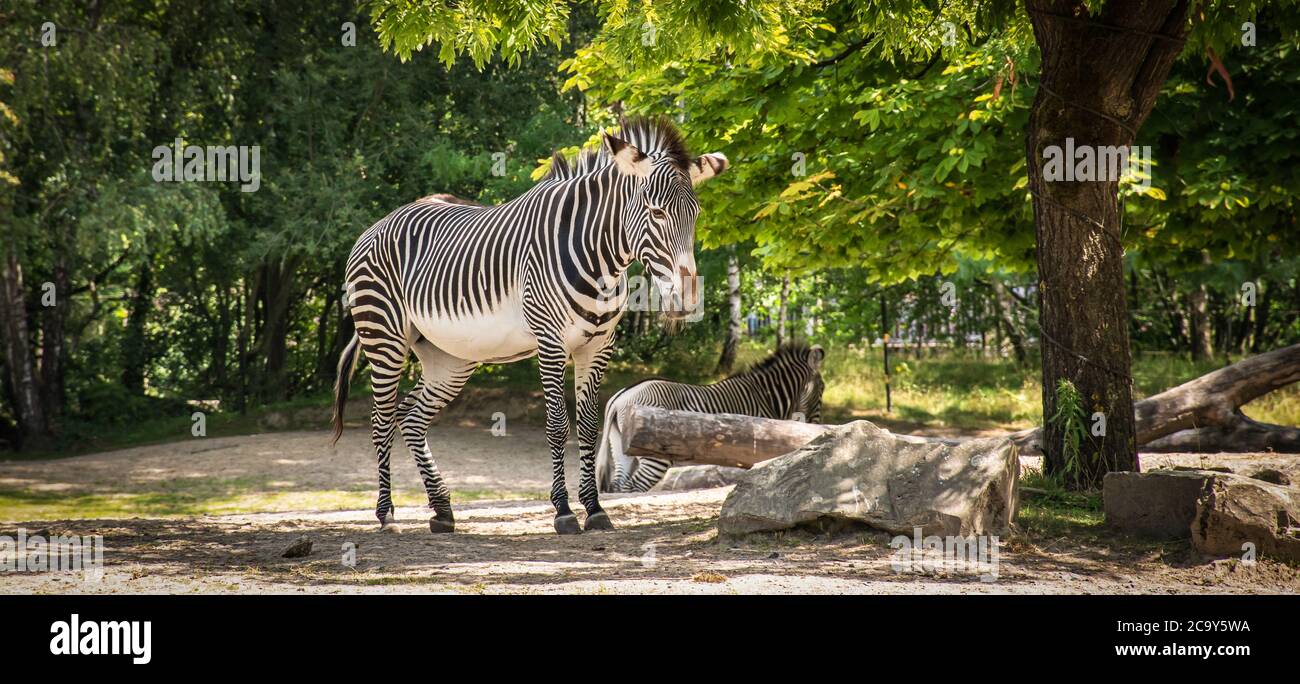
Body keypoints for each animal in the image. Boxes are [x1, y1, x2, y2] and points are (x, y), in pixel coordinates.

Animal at [330, 117, 728, 535]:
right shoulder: (550, 341)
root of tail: (377, 225)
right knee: (381, 420)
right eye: (656, 213)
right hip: (384, 336)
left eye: (696, 214)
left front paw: (595, 508)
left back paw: (442, 510)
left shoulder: (598, 345)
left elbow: (589, 426)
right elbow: (557, 425)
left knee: (411, 418)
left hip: (449, 358)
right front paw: (564, 510)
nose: (687, 300)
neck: (599, 259)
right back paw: (386, 514)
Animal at [595, 342, 826, 493]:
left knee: (618, 485)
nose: (816, 427)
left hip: (620, 446)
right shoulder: (756, 444)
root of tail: (621, 397)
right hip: (654, 455)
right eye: (822, 388)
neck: (766, 395)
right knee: (633, 487)